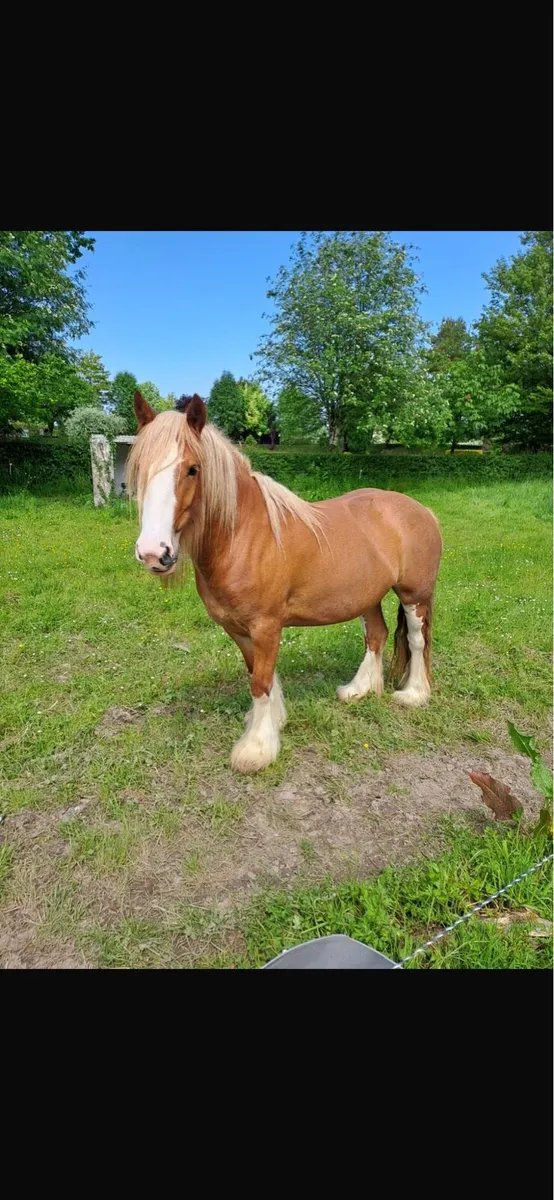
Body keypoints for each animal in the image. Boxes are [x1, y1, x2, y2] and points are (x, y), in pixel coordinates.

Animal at [128, 391, 442, 774]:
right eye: (140, 468)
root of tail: (423, 511)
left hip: (415, 595)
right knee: (377, 636)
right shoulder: (239, 630)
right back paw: (359, 689)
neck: (243, 535)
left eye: (192, 469)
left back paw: (414, 694)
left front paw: (256, 748)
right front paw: (268, 722)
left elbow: (261, 681)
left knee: (417, 640)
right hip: (366, 597)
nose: (153, 553)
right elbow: (259, 675)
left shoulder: (266, 626)